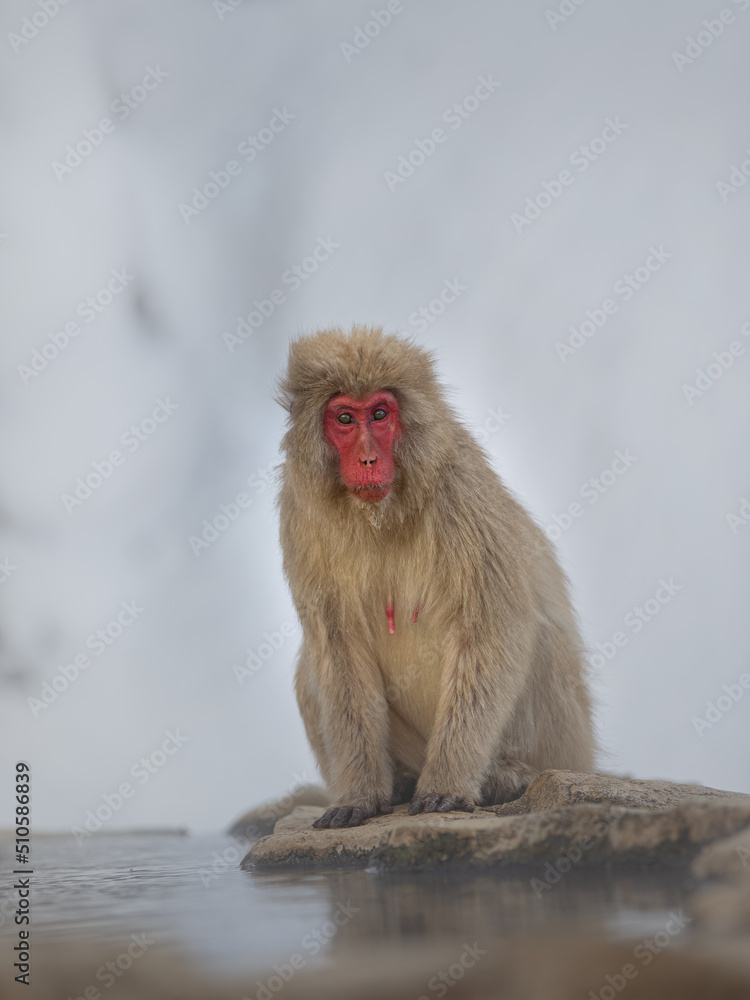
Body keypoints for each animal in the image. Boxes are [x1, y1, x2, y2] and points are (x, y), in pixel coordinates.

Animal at [276, 325, 594, 829]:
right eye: (345, 418)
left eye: (380, 414)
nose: (368, 459)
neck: (381, 514)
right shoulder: (298, 514)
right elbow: (338, 648)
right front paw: (360, 793)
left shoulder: (460, 494)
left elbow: (494, 629)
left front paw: (447, 783)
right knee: (312, 663)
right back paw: (402, 781)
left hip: (562, 742)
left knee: (535, 636)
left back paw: (507, 775)